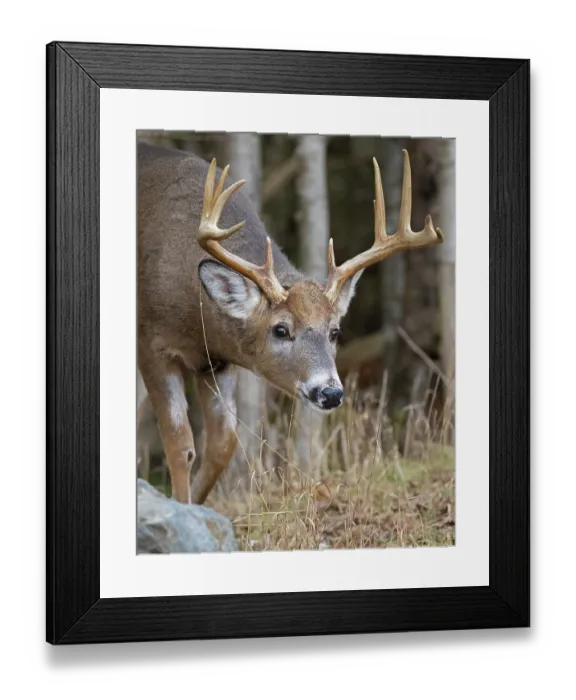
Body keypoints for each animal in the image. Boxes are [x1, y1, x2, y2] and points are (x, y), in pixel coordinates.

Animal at [137, 140, 444, 505]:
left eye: (335, 331)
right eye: (281, 329)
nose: (330, 392)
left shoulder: (216, 361)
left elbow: (223, 442)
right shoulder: (151, 343)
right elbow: (180, 442)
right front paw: (180, 504)